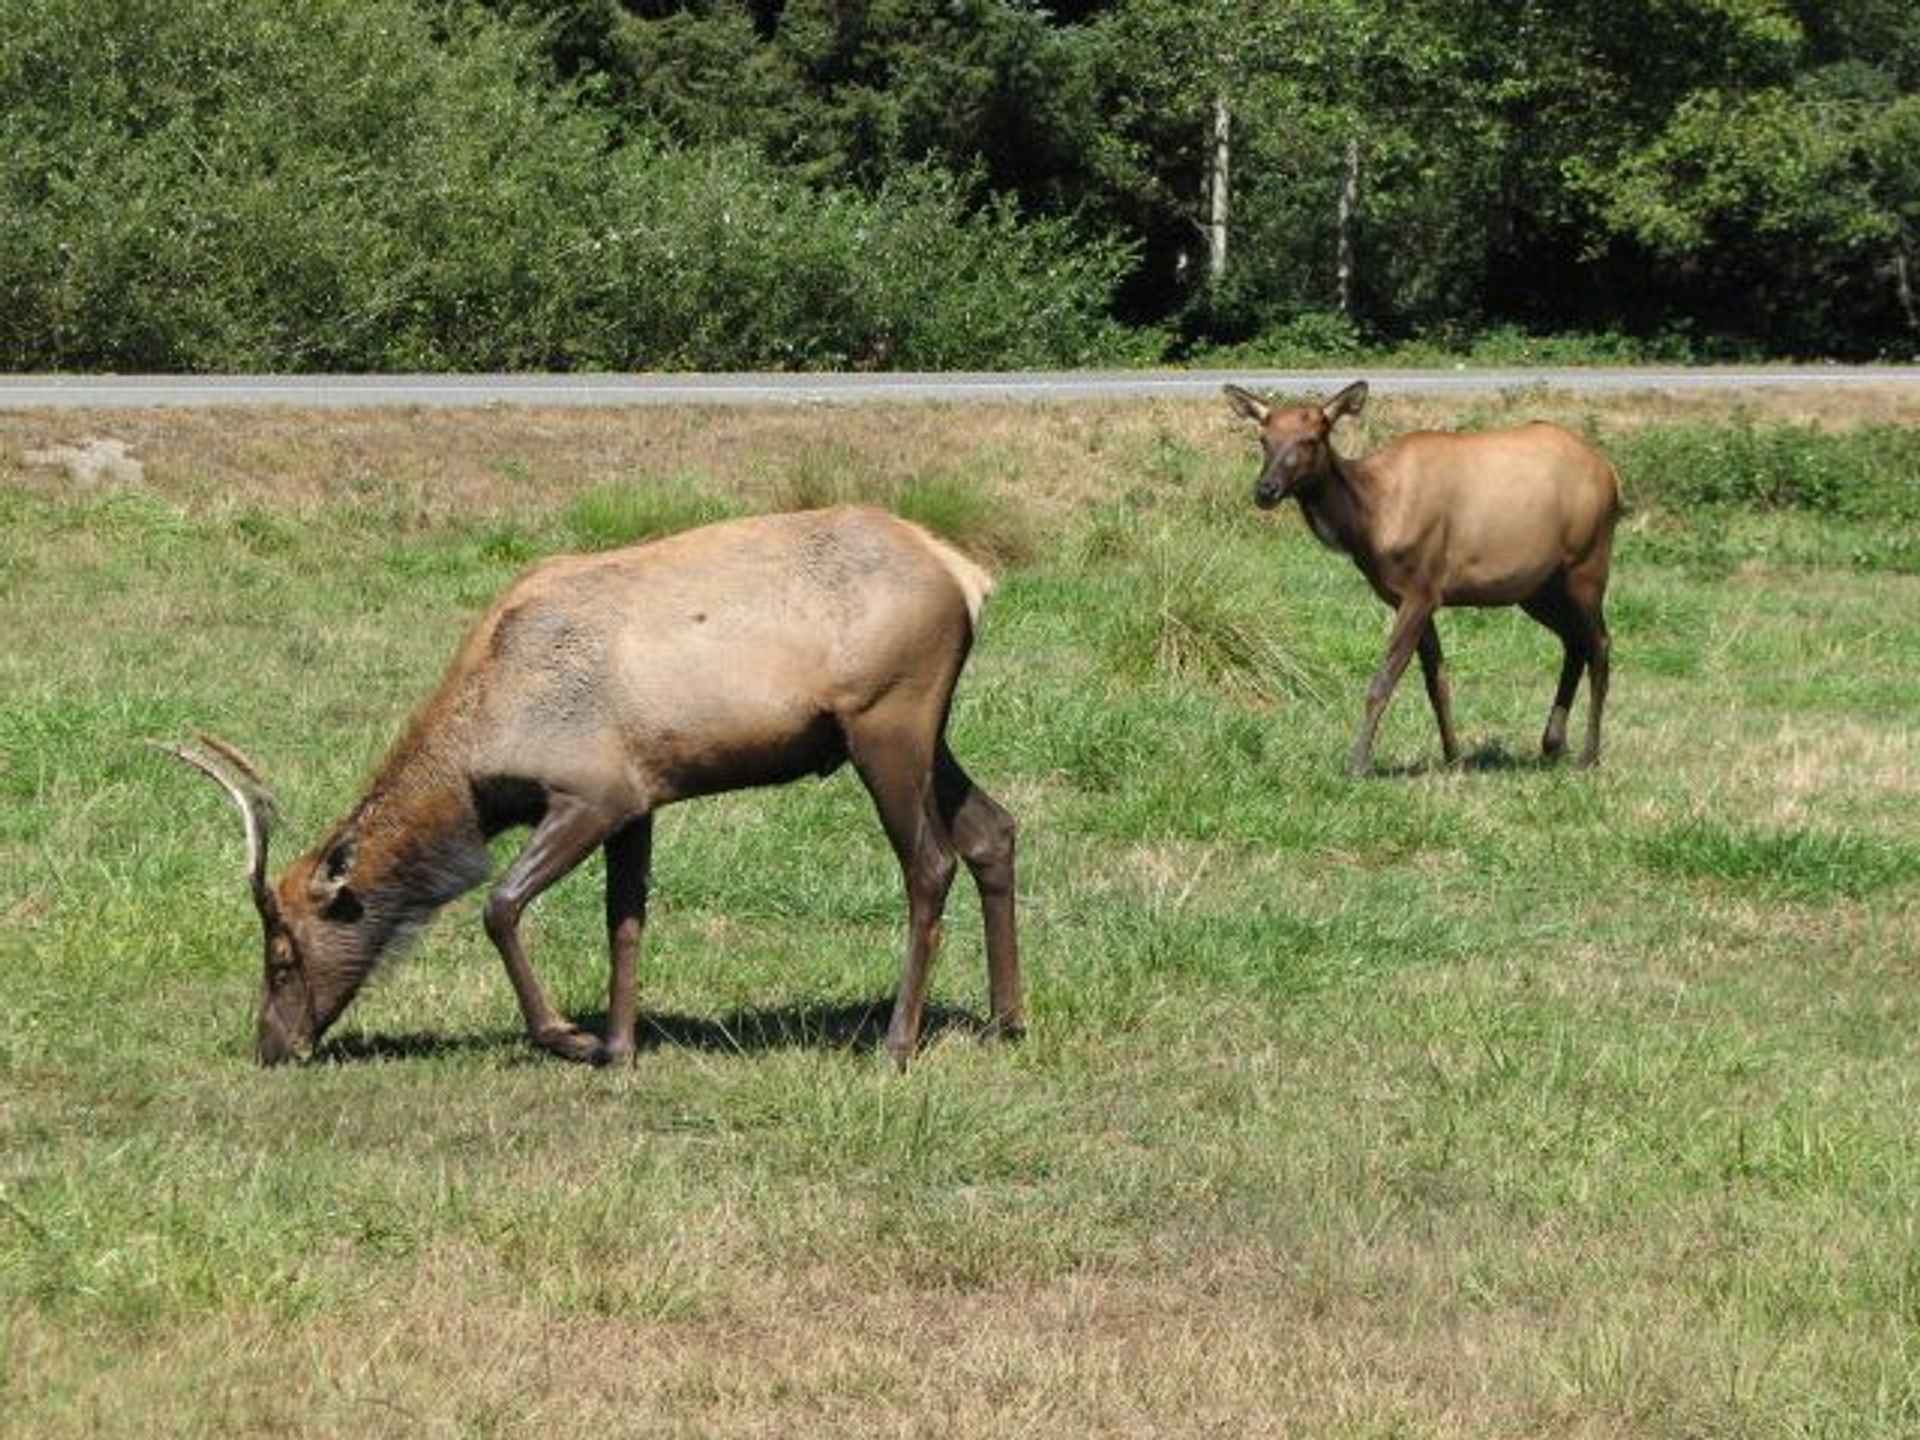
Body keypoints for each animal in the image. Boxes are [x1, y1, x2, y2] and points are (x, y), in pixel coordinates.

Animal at [161, 506, 1021, 1075]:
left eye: (281, 955)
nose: (273, 1046)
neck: (479, 767)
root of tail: (967, 576)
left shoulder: (591, 792)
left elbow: (500, 904)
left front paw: (571, 1037)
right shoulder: (640, 800)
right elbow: (625, 922)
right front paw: (621, 1045)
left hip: (887, 720)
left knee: (929, 863)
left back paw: (897, 1043)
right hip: (918, 731)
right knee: (992, 829)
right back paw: (1004, 1022)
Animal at [1228, 378, 1620, 771]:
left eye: (1311, 438)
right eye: (1264, 438)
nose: (1265, 490)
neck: (1370, 521)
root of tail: (1612, 474)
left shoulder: (1421, 588)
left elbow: (1382, 681)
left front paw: (1357, 765)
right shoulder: (1412, 595)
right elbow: (1437, 681)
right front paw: (1453, 758)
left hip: (1587, 565)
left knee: (1600, 643)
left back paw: (1589, 755)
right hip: (1538, 588)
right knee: (1574, 642)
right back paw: (1553, 744)